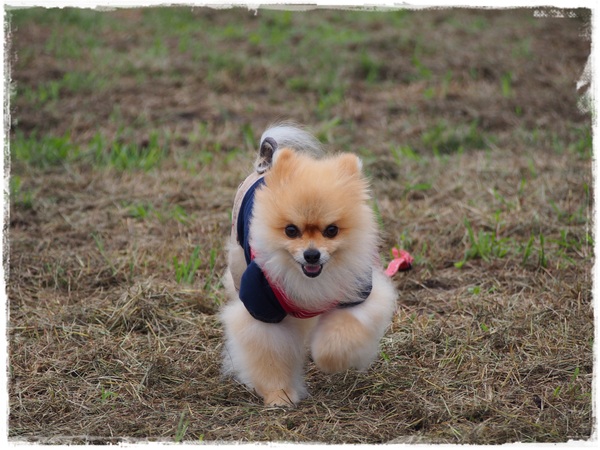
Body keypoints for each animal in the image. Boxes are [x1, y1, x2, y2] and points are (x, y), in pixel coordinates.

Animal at [220, 125, 398, 406]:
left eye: (332, 230)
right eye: (291, 230)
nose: (311, 255)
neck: (308, 278)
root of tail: (264, 165)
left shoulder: (358, 295)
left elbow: (340, 337)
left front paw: (328, 360)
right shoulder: (263, 310)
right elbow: (270, 356)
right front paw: (279, 396)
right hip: (238, 259)